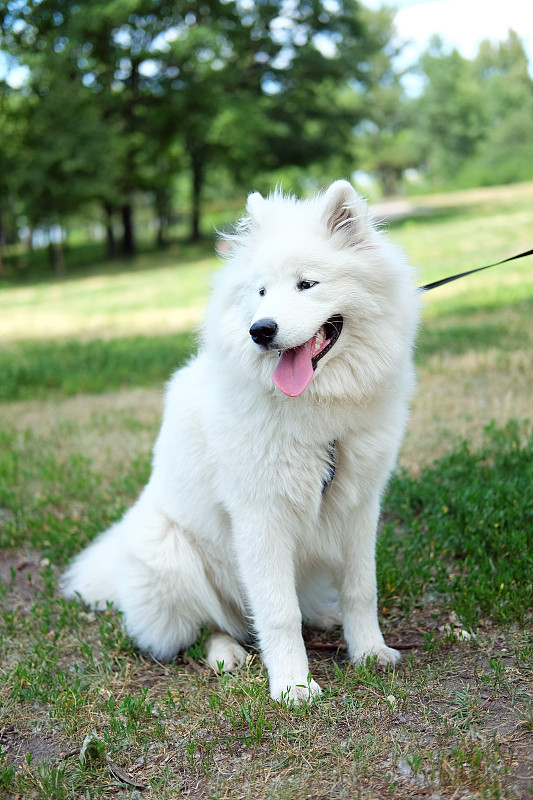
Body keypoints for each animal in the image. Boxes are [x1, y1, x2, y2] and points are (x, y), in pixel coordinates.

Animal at [62, 180, 420, 700]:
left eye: (307, 284)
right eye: (261, 291)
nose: (261, 330)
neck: (317, 414)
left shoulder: (359, 506)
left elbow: (360, 589)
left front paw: (370, 653)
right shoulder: (260, 518)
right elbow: (278, 612)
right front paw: (293, 686)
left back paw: (325, 617)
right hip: (172, 555)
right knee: (205, 628)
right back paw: (227, 654)